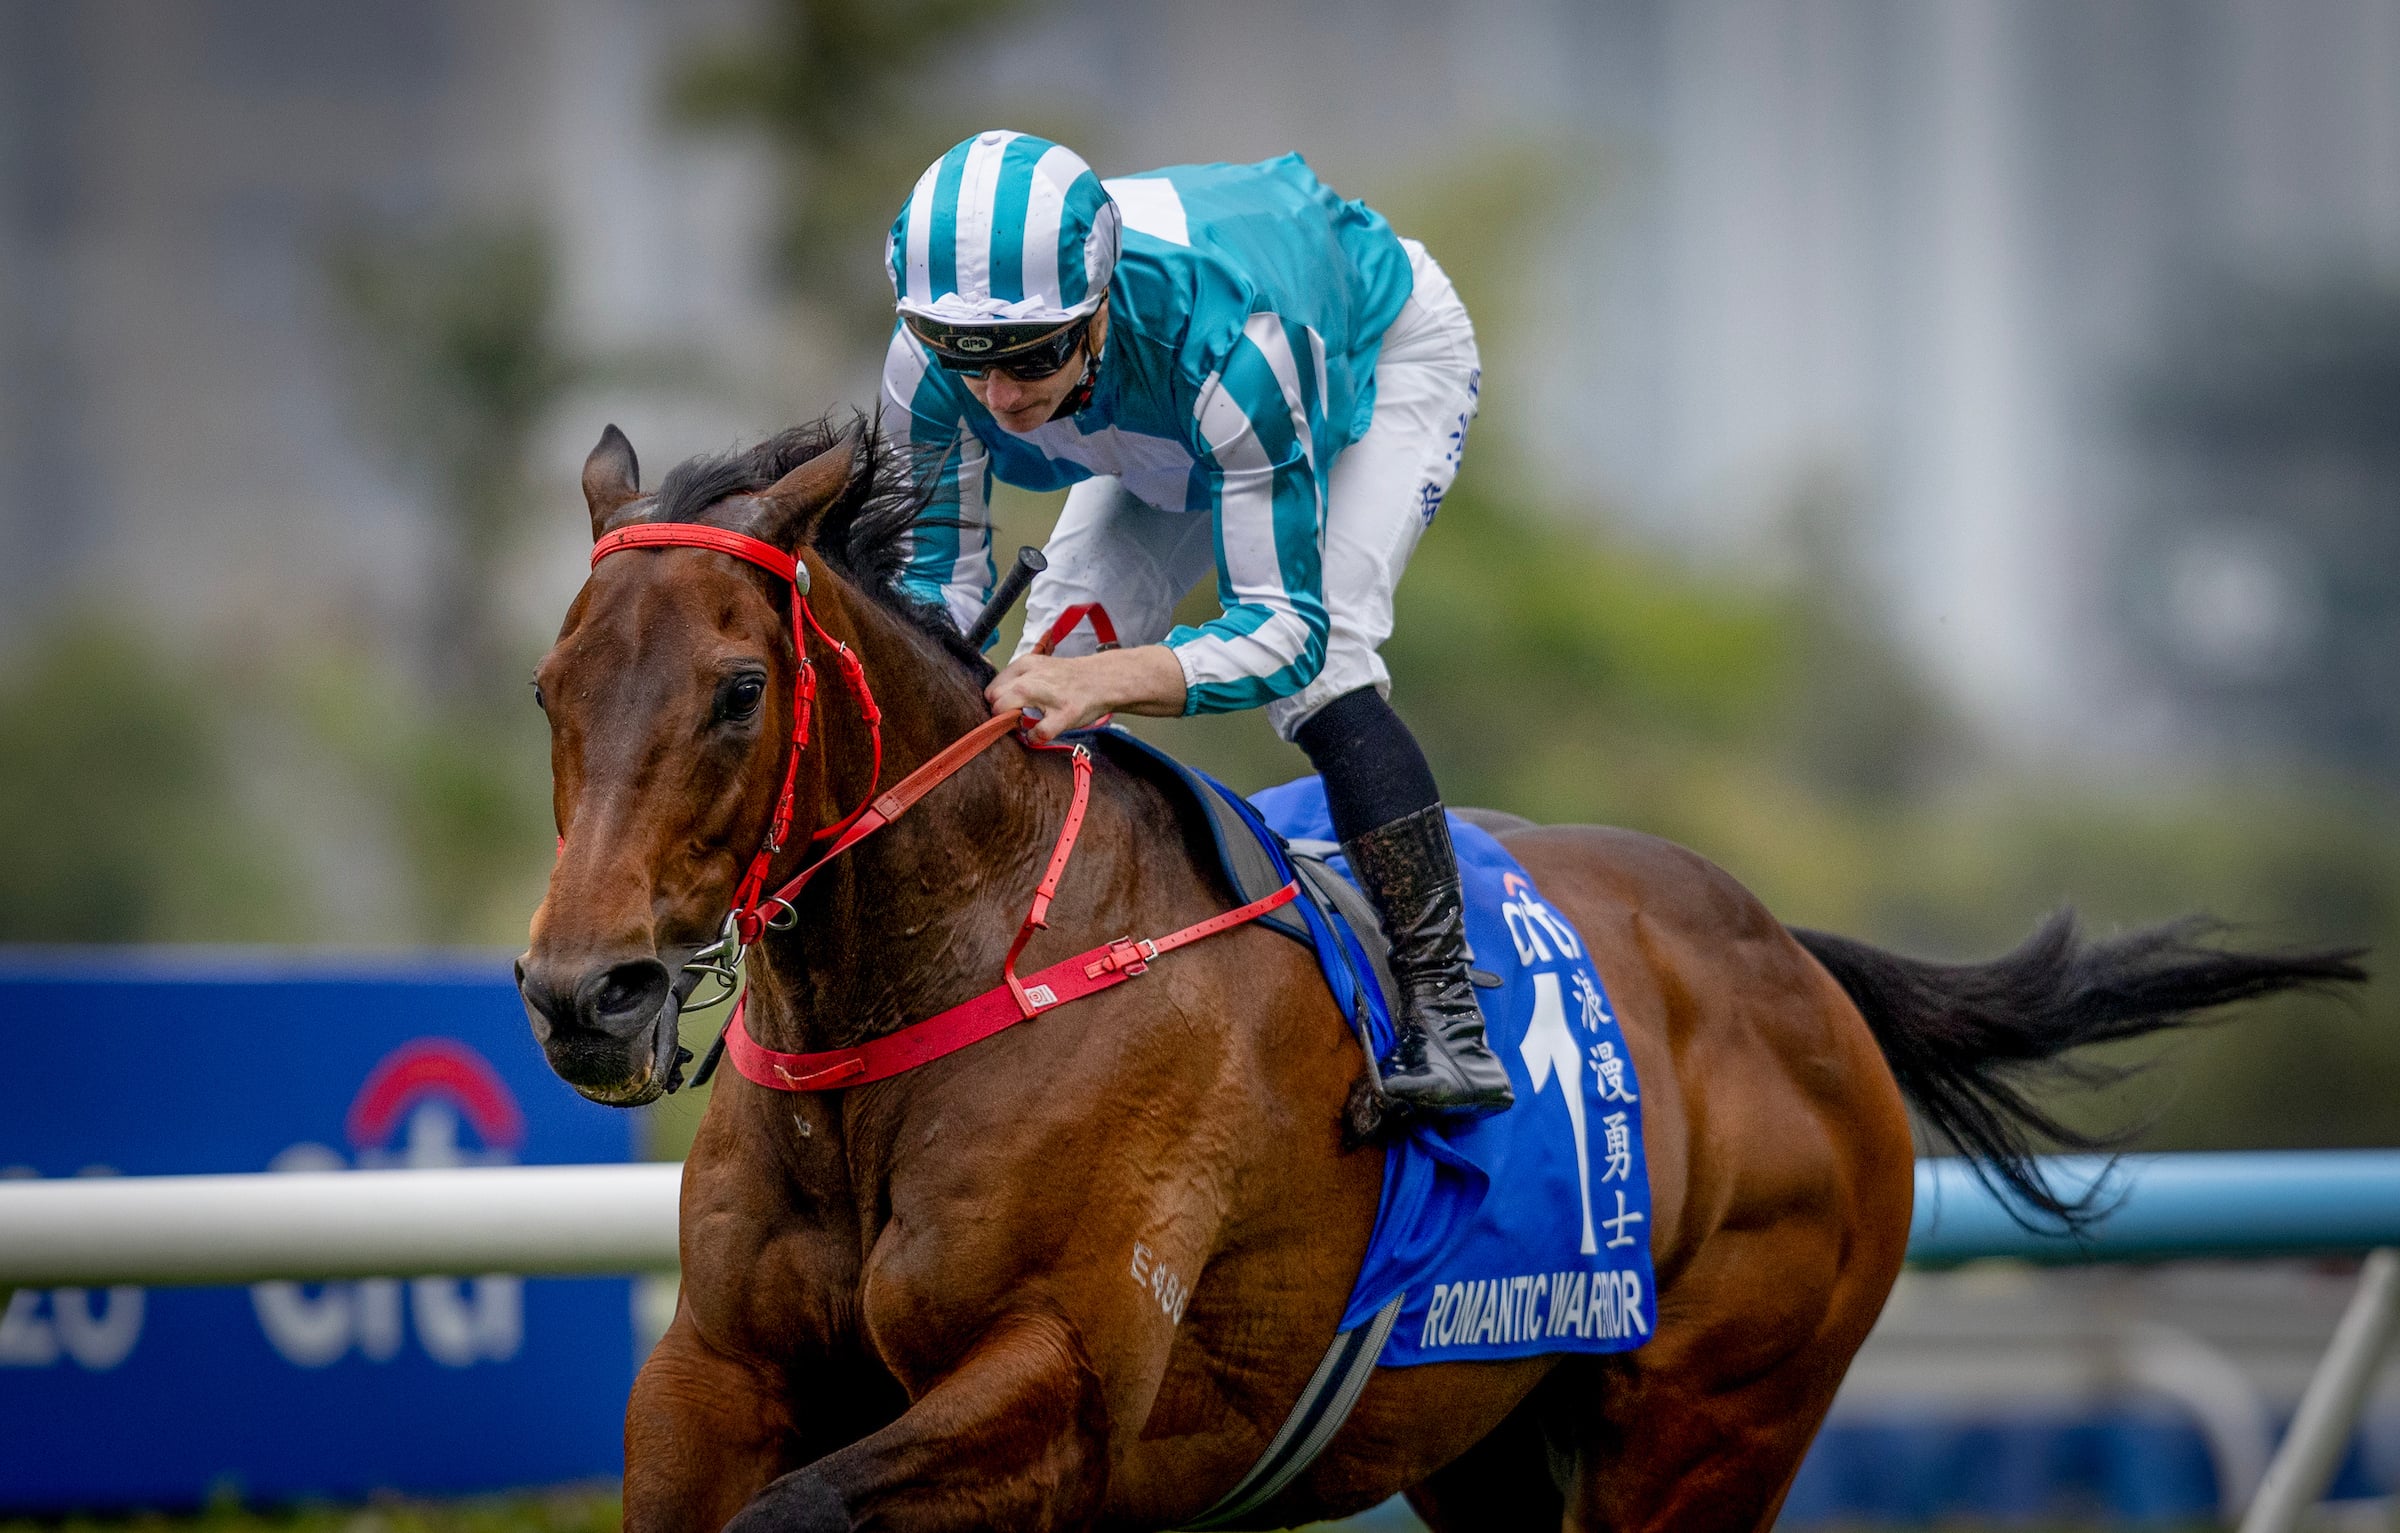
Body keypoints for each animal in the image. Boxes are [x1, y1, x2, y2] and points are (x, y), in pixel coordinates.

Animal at [515, 418, 2364, 1533]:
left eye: (739, 689)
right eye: (551, 686)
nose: (583, 993)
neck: (949, 986)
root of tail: (1794, 963)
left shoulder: (1056, 1382)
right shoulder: (716, 1372)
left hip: (1707, 1424)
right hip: (1486, 1437)